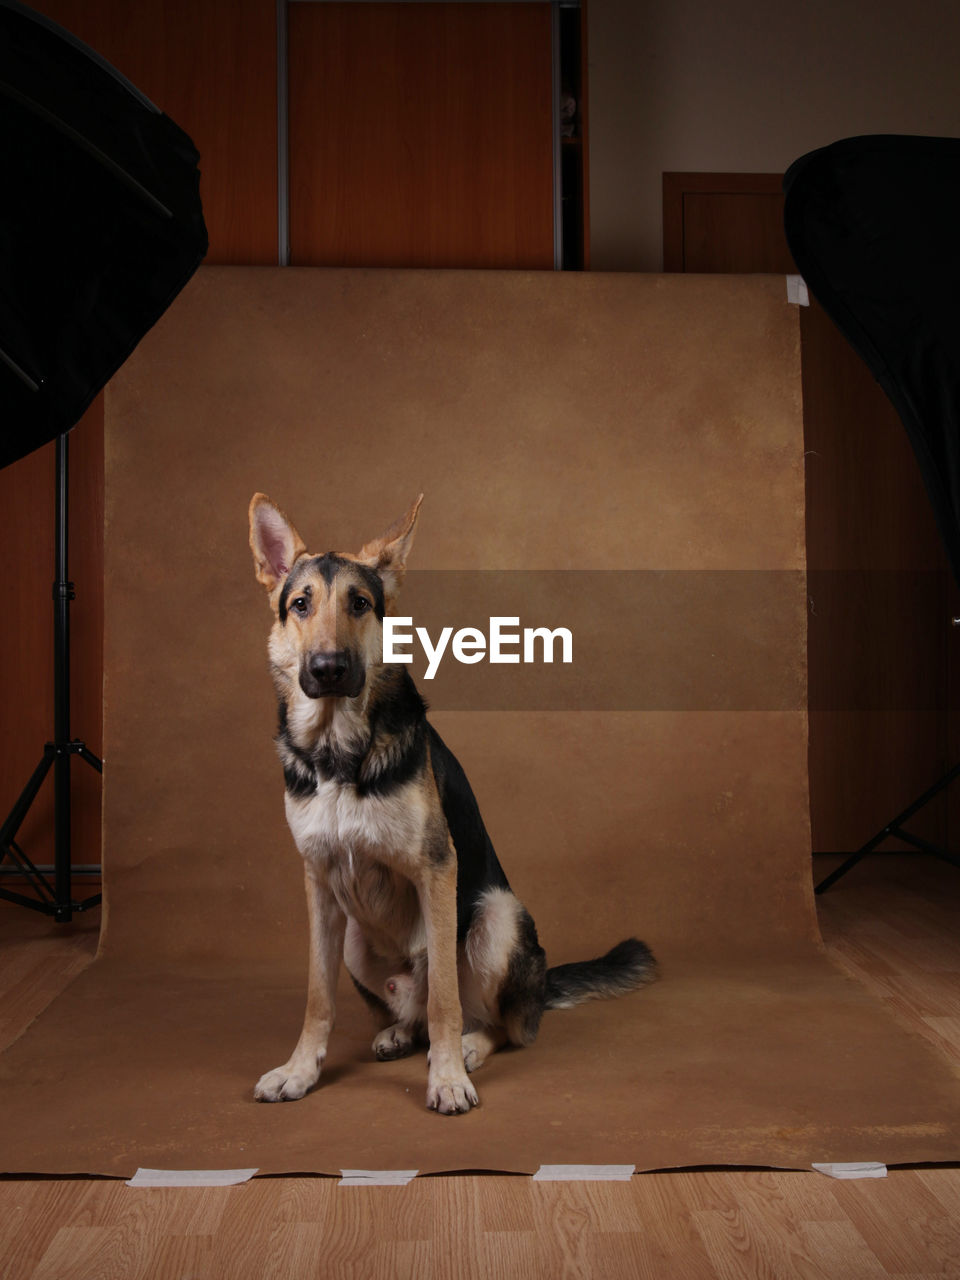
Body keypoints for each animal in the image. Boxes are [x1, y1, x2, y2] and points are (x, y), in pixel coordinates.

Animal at [248, 494, 660, 1116]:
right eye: (301, 604)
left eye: (360, 604)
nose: (328, 668)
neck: (339, 752)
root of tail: (539, 986)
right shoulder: (319, 884)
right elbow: (319, 998)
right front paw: (300, 1071)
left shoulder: (436, 872)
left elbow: (446, 996)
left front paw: (445, 1079)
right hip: (353, 937)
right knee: (416, 1016)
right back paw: (398, 1033)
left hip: (498, 916)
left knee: (496, 1023)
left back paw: (469, 1048)